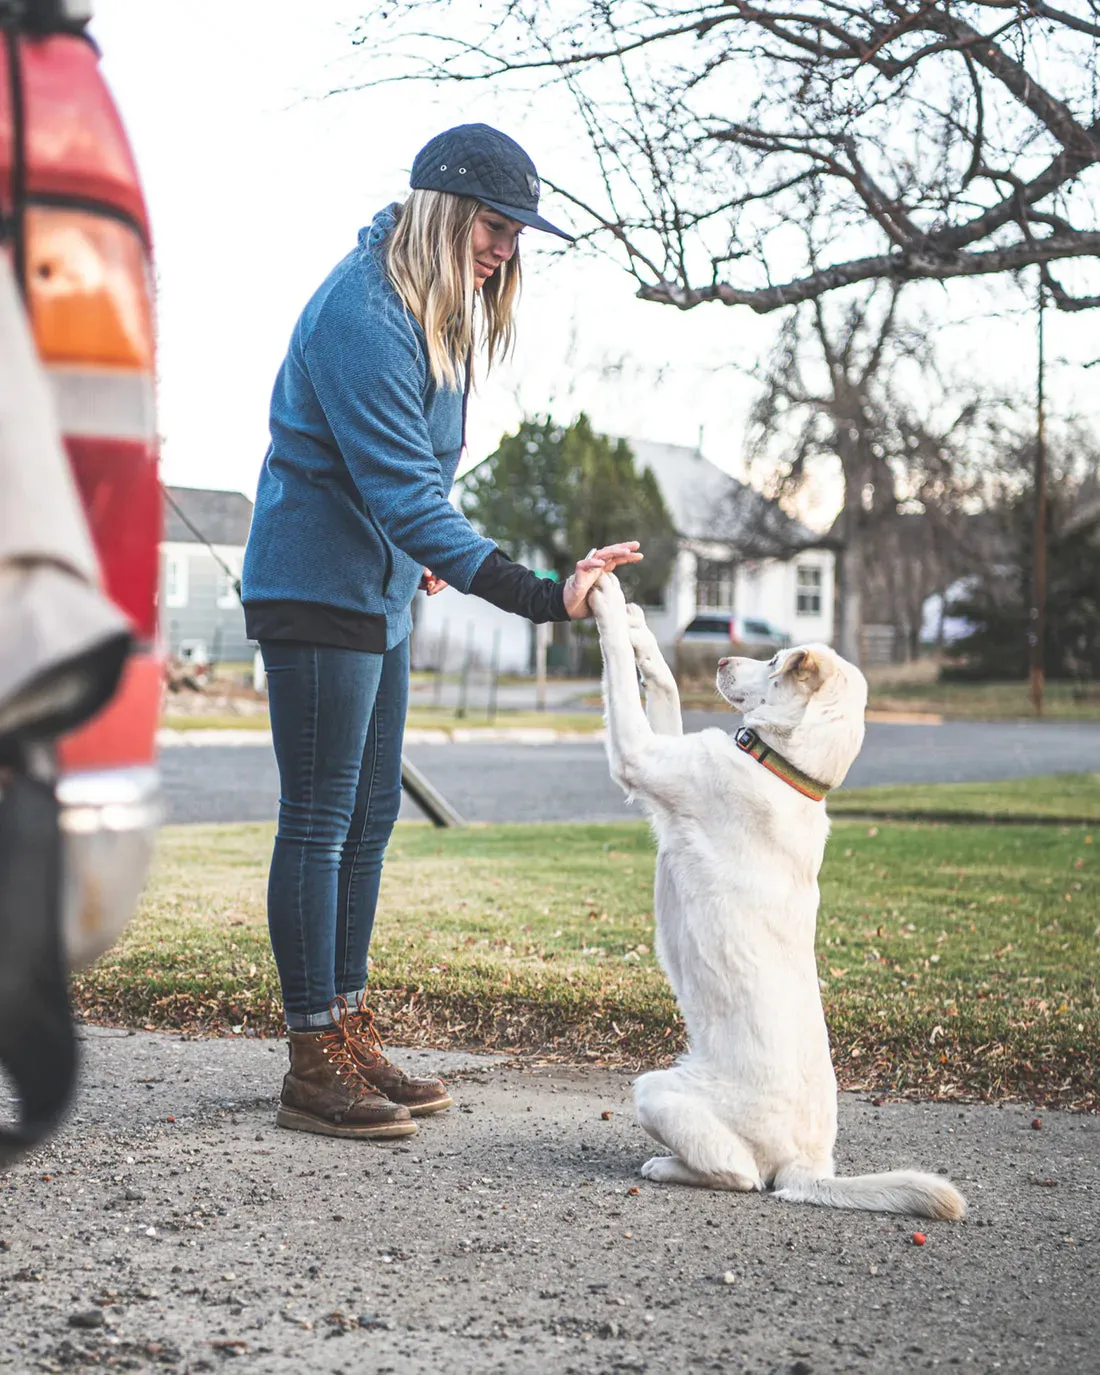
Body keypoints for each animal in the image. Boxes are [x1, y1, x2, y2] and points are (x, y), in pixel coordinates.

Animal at [594, 574, 962, 1221]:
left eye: (771, 661)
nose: (719, 658)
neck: (786, 770)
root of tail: (808, 1166)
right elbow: (662, 682)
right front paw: (640, 629)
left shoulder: (642, 758)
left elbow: (618, 671)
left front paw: (606, 602)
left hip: (654, 1090)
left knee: (742, 1176)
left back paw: (667, 1166)